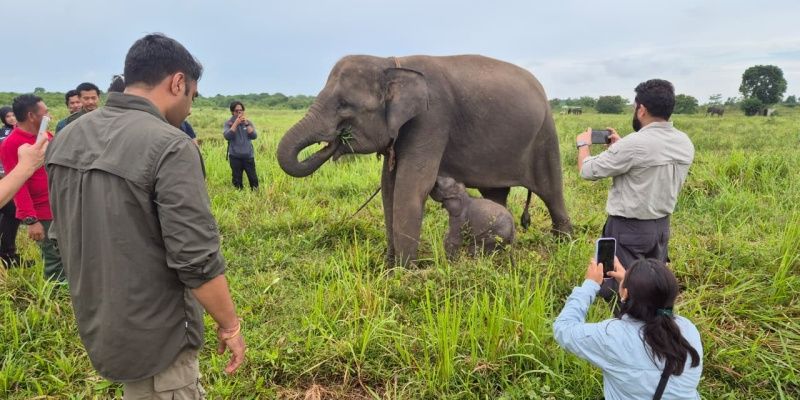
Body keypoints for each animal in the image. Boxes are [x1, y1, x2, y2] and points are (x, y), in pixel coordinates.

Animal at [277, 54, 572, 265]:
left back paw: (564, 246)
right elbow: (389, 187)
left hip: (545, 134)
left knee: (551, 191)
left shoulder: (431, 119)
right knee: (495, 193)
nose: (337, 141)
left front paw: (404, 274)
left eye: (345, 105)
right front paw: (390, 266)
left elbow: (412, 186)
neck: (392, 63)